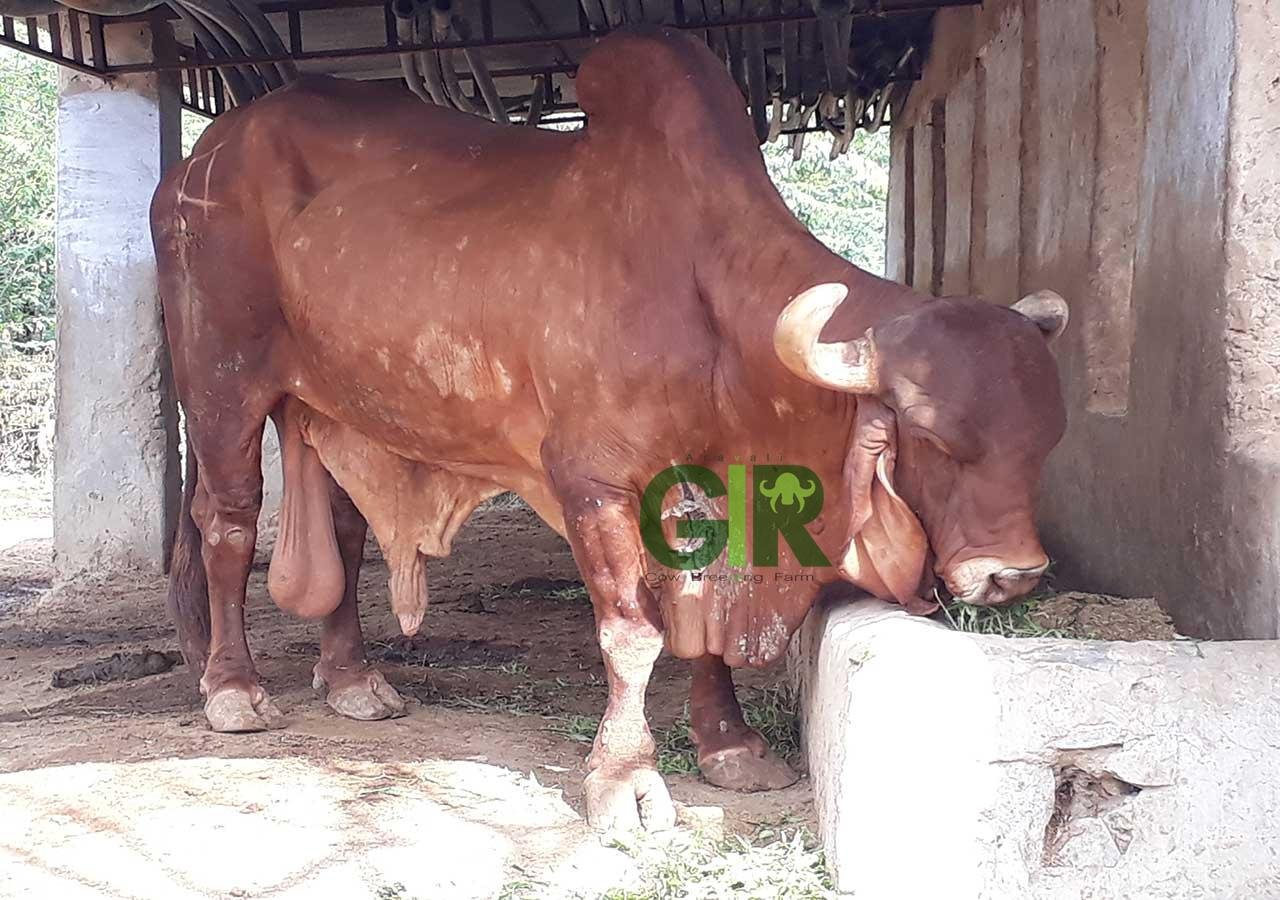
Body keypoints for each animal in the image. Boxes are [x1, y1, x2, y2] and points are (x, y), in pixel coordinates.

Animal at [151, 26, 1068, 832]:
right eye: (934, 438)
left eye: (1046, 442)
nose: (1012, 574)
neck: (709, 306)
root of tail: (196, 159)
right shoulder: (593, 480)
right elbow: (633, 633)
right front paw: (625, 781)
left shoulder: (702, 488)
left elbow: (699, 624)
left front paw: (730, 745)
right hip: (222, 384)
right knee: (228, 524)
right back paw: (231, 689)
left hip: (336, 408)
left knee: (343, 528)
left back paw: (352, 680)